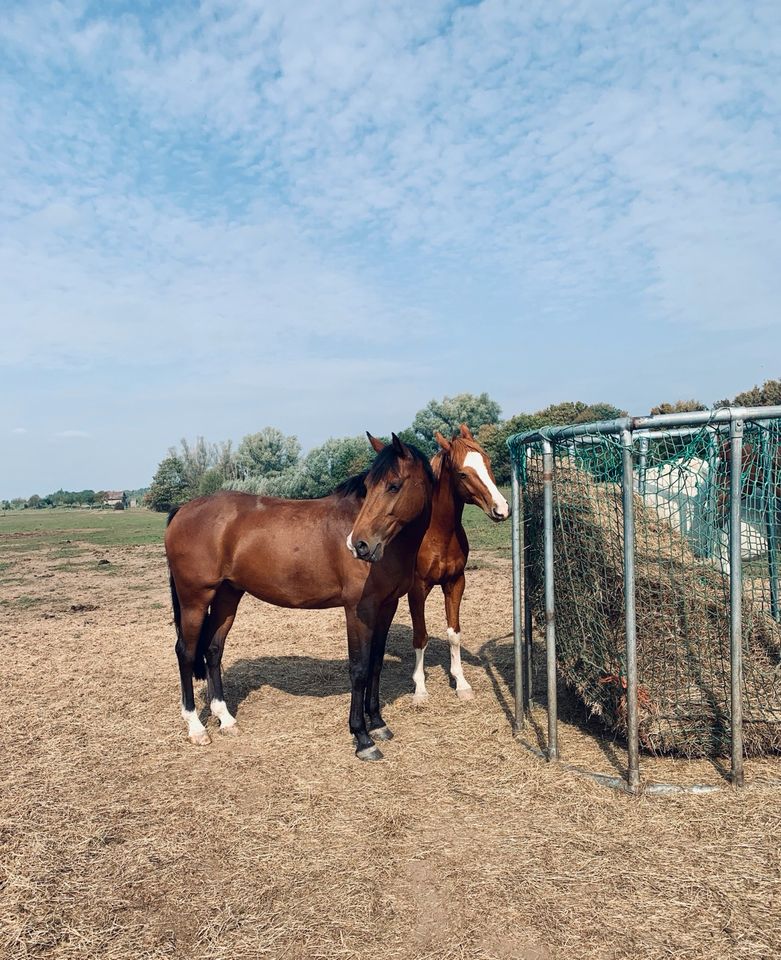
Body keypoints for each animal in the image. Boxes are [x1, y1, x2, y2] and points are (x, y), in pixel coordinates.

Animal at [165, 434, 432, 756]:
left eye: (393, 485)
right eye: (368, 487)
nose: (359, 545)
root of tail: (182, 510)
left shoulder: (387, 606)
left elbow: (376, 664)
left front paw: (378, 723)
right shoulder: (359, 609)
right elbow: (359, 668)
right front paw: (362, 737)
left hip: (227, 595)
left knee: (213, 650)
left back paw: (226, 719)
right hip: (195, 599)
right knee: (186, 652)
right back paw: (196, 728)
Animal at [406, 424, 508, 700]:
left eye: (488, 462)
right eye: (462, 474)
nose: (502, 509)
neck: (437, 533)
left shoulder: (455, 582)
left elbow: (454, 634)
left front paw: (461, 683)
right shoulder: (417, 588)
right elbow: (420, 636)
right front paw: (420, 688)